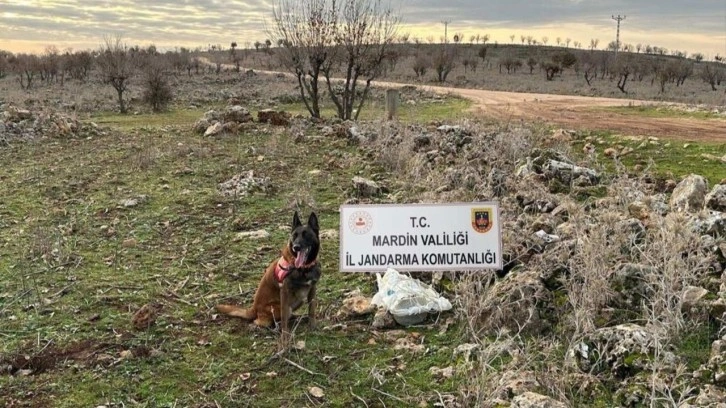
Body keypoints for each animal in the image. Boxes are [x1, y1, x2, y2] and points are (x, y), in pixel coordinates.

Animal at [215, 210, 320, 344]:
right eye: (294, 236)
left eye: (306, 235)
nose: (296, 247)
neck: (304, 268)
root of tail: (254, 308)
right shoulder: (284, 292)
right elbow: (285, 320)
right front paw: (285, 337)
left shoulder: (313, 288)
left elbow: (312, 309)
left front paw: (312, 325)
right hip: (277, 308)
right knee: (265, 321)